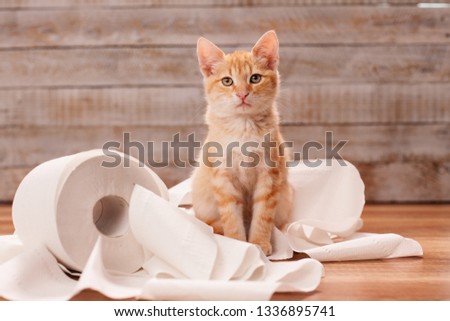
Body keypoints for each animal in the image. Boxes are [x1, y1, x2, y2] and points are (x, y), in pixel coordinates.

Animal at [192, 30, 292, 255]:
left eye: (255, 78)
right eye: (227, 81)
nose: (242, 94)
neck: (243, 127)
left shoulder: (269, 175)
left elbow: (263, 214)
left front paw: (259, 243)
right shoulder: (223, 178)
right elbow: (231, 217)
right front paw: (238, 244)